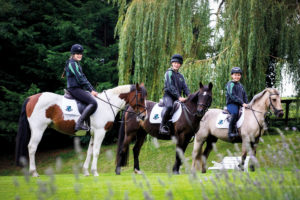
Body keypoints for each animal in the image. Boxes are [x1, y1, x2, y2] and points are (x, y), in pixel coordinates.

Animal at [15, 83, 147, 177]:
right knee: (32, 147)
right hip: (38, 129)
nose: (144, 116)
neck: (106, 104)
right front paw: (95, 172)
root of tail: (31, 98)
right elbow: (96, 152)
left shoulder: (93, 134)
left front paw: (86, 172)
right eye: (141, 98)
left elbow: (89, 152)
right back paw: (34, 172)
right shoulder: (100, 132)